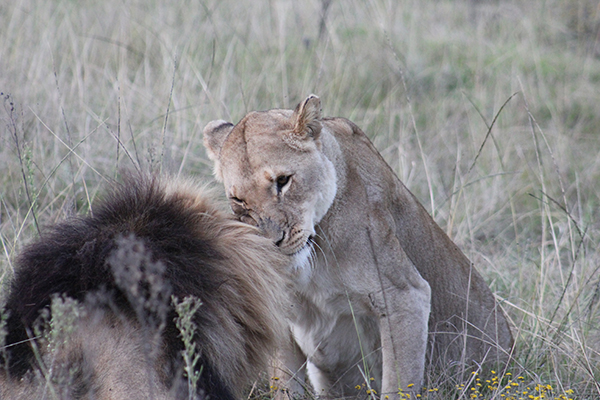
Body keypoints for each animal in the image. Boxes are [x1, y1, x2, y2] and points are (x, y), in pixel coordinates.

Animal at [204, 94, 512, 396]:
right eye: (238, 200)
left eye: (283, 181)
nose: (273, 242)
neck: (312, 260)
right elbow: (284, 385)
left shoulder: (406, 295)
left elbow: (397, 384)